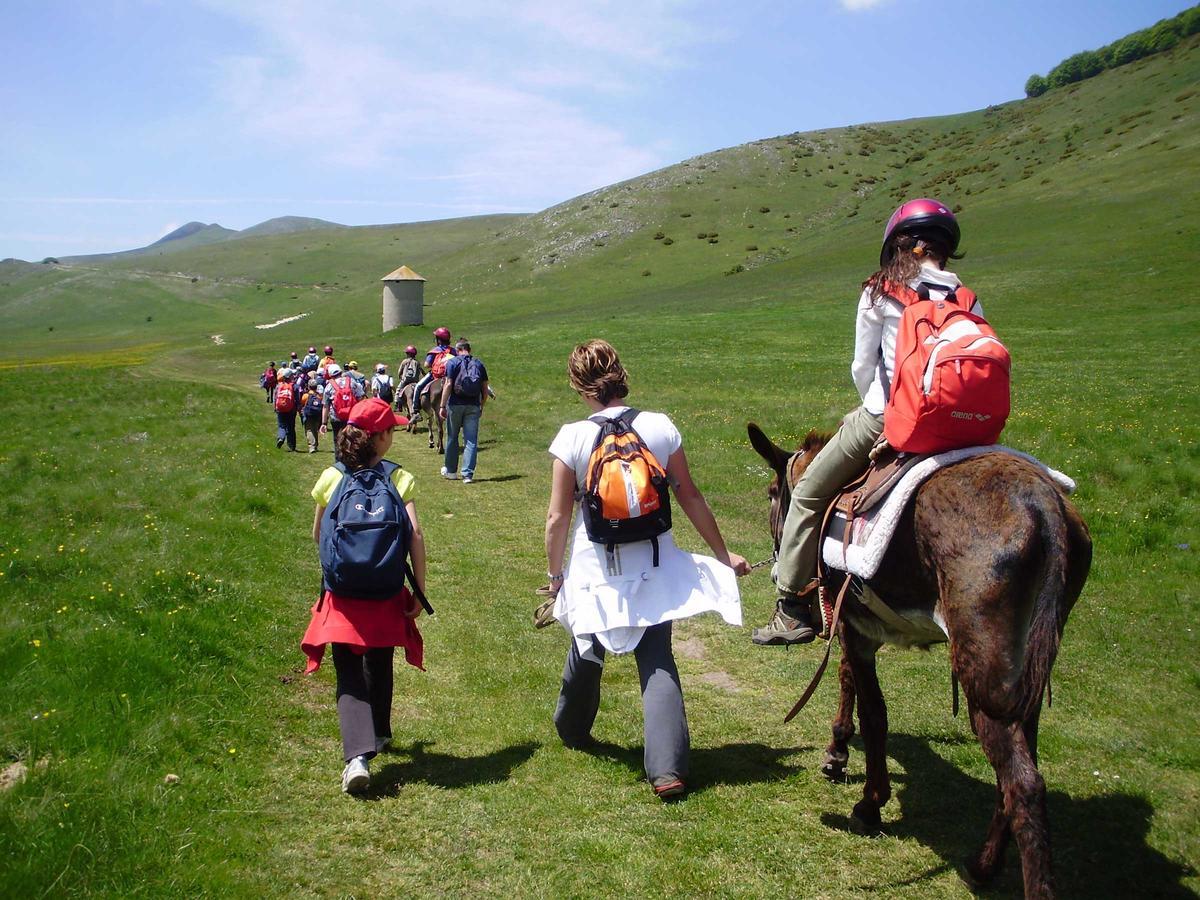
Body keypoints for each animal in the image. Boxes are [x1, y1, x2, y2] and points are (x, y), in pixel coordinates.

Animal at [748, 424, 1099, 900]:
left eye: (772, 493)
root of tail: (1043, 507)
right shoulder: (858, 624)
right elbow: (848, 681)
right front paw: (838, 753)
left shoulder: (854, 628)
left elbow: (873, 712)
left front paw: (869, 802)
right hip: (1021, 679)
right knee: (1017, 773)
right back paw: (983, 864)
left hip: (985, 682)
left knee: (1023, 783)